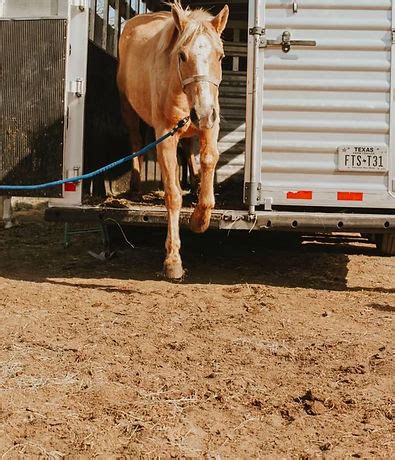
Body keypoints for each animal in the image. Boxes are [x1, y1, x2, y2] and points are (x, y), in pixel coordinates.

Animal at [117, 1, 229, 278]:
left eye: (221, 56)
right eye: (182, 55)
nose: (203, 112)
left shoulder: (210, 127)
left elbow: (208, 160)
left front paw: (200, 219)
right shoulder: (165, 138)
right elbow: (173, 195)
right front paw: (173, 259)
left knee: (187, 150)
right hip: (129, 110)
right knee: (136, 142)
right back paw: (136, 186)